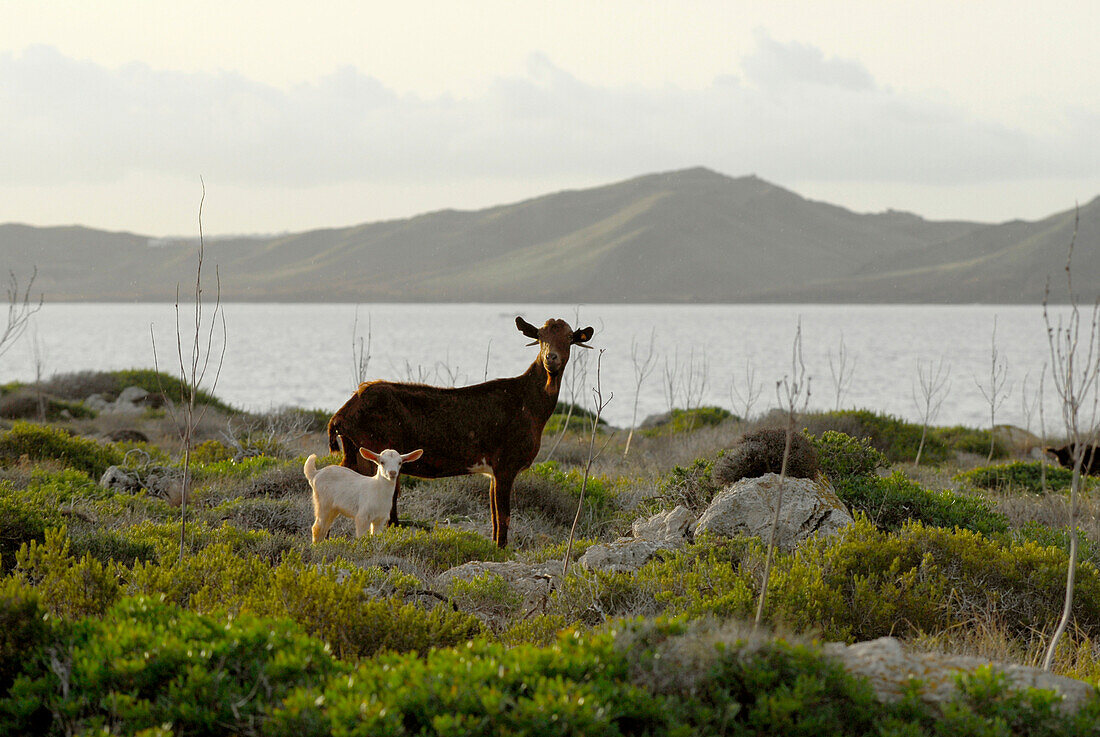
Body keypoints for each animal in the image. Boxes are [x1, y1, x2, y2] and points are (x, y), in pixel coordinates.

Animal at [323, 316, 594, 547]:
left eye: (569, 337)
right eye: (540, 335)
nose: (551, 358)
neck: (529, 402)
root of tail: (340, 415)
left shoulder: (493, 470)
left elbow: (494, 514)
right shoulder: (506, 463)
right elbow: (504, 516)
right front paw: (502, 551)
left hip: (353, 451)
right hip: (369, 451)